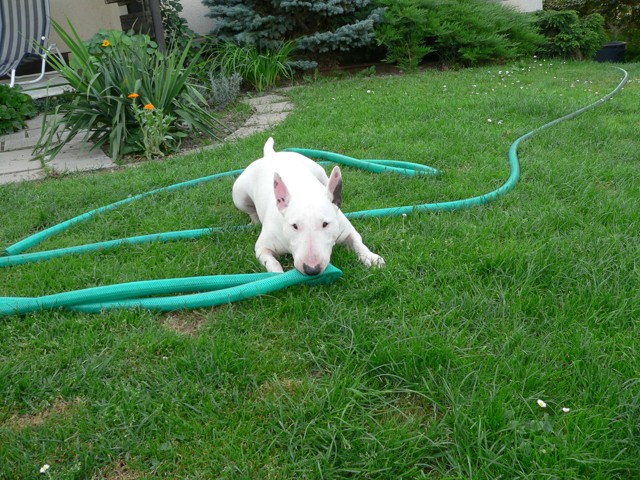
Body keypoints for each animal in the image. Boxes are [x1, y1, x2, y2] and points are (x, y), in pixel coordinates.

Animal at [232, 138, 385, 275]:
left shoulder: (346, 230)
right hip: (239, 195)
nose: (312, 270)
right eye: (294, 226)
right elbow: (270, 260)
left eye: (325, 224)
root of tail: (271, 155)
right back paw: (254, 223)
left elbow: (358, 242)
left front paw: (372, 258)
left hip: (320, 171)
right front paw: (278, 275)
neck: (305, 191)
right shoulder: (262, 246)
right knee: (251, 211)